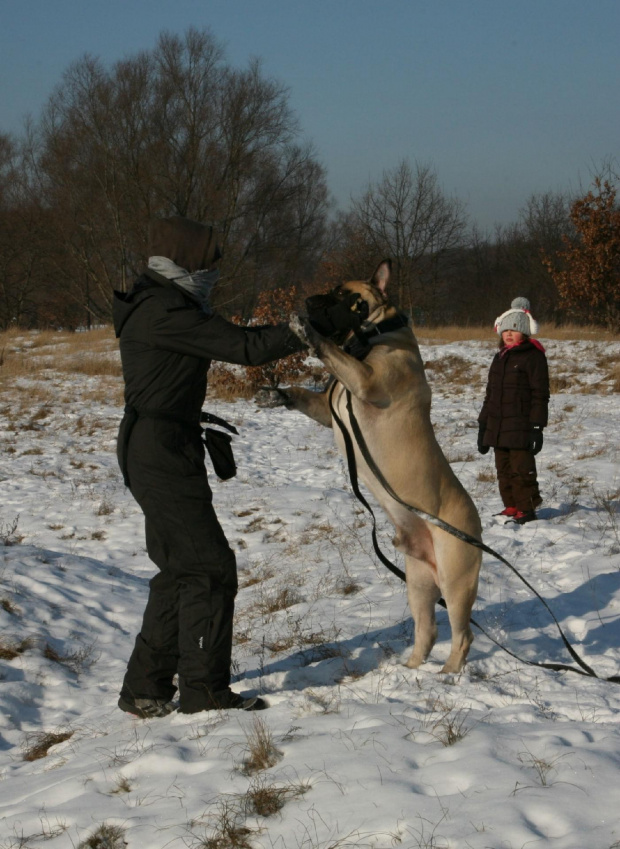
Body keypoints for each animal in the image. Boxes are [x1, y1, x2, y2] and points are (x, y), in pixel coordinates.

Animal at [260, 256, 482, 668]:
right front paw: (274, 395)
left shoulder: (365, 379)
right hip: (418, 582)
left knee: (463, 636)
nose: (310, 300)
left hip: (456, 580)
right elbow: (302, 394)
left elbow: (331, 350)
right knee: (427, 630)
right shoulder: (327, 407)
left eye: (342, 293)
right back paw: (413, 670)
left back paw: (448, 674)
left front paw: (303, 328)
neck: (372, 335)